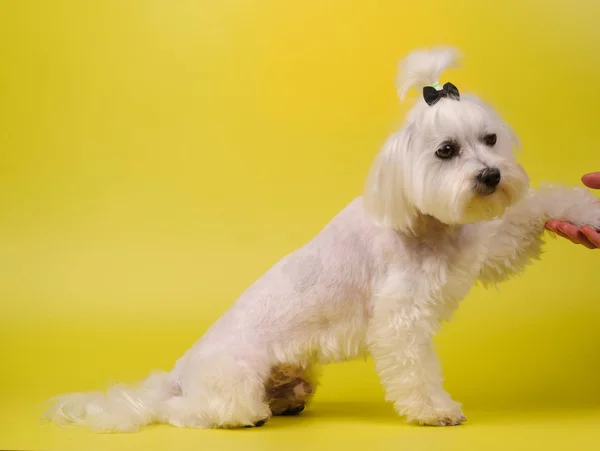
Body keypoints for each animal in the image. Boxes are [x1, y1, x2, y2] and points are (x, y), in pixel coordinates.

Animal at [44, 47, 600, 432]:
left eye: (490, 140)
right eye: (445, 150)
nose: (490, 176)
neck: (430, 223)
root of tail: (180, 373)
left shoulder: (485, 249)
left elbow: (533, 211)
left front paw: (584, 208)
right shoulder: (399, 319)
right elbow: (416, 369)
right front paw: (435, 410)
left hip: (295, 373)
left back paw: (287, 399)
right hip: (232, 381)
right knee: (188, 411)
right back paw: (241, 414)